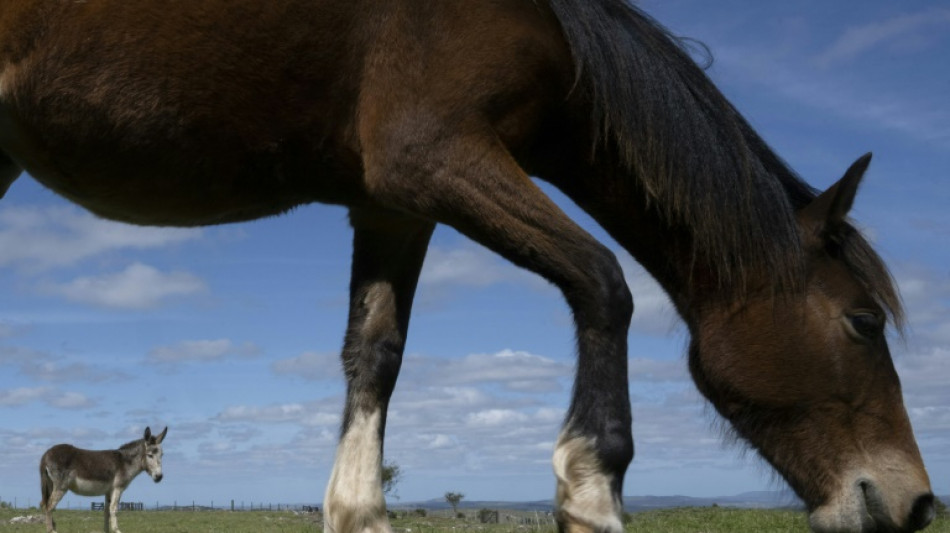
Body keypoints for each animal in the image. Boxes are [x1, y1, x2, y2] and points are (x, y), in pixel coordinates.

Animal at [39, 427, 167, 533]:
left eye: (162, 455)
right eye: (150, 455)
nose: (159, 477)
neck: (124, 462)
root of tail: (46, 454)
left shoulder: (108, 491)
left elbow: (106, 512)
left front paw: (107, 530)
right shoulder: (118, 488)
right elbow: (114, 509)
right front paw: (117, 530)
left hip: (51, 485)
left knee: (45, 505)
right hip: (61, 487)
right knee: (49, 506)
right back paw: (51, 530)